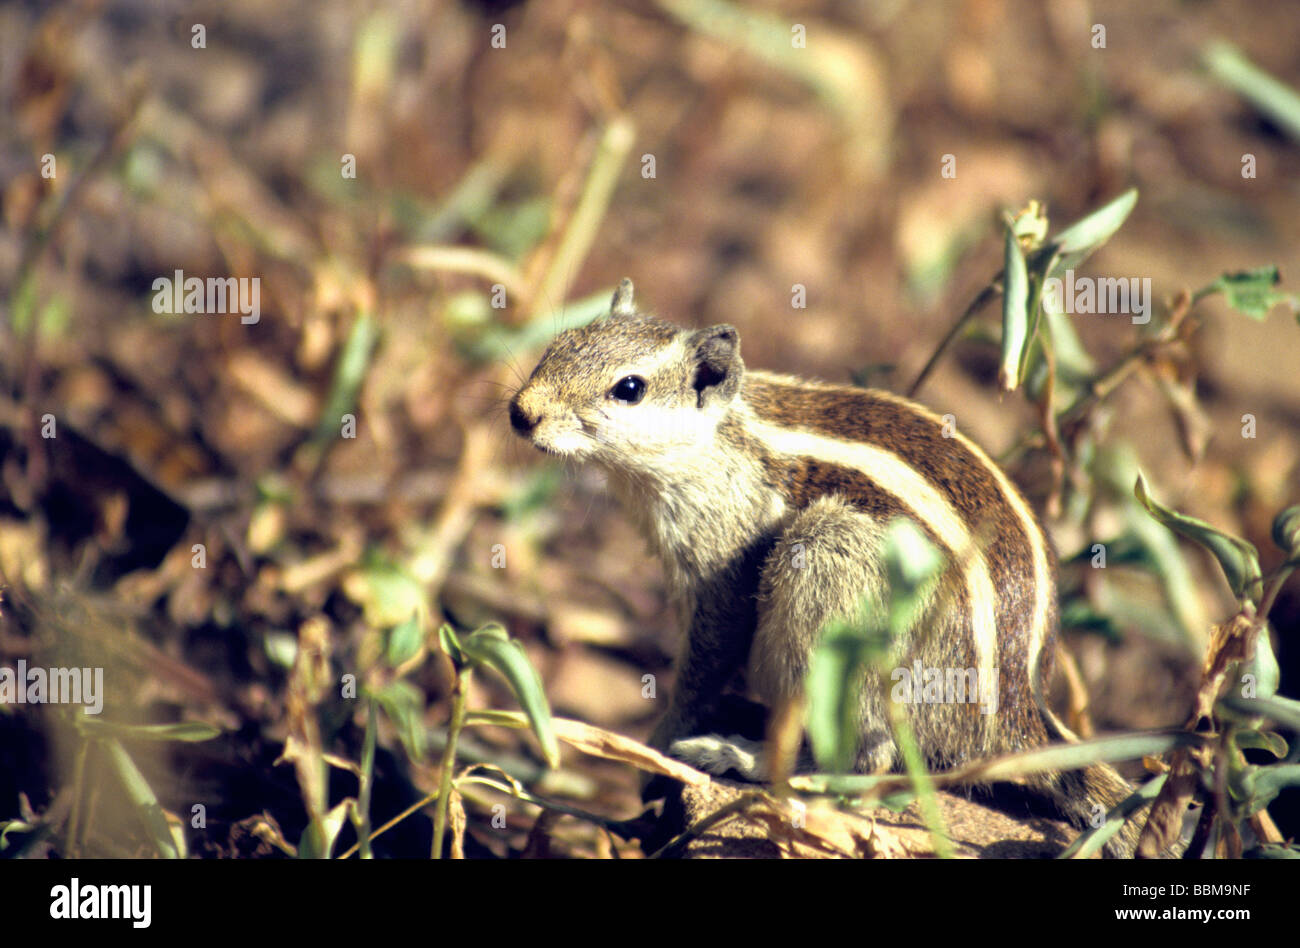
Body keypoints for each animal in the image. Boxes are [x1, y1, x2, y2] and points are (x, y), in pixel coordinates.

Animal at [512, 276, 1144, 853]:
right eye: (561, 343)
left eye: (629, 388)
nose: (521, 413)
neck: (719, 439)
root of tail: (1012, 711)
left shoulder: (721, 563)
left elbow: (706, 660)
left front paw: (659, 743)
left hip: (830, 569)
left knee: (869, 759)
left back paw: (745, 757)